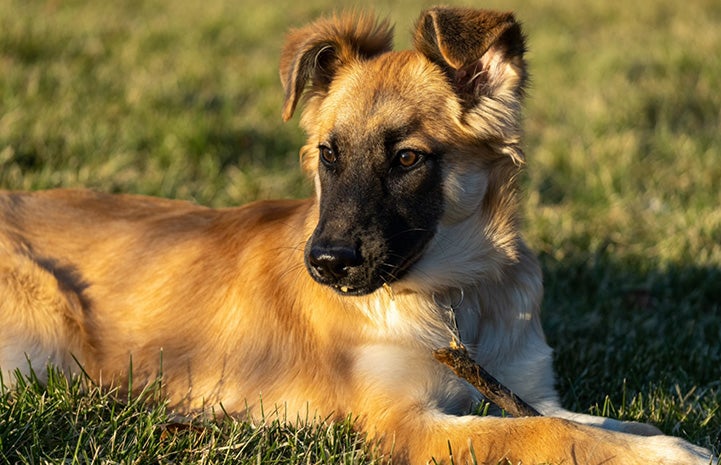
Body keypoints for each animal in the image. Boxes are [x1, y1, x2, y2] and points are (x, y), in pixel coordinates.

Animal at [0, 7, 712, 464]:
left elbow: (597, 421)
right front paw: (673, 454)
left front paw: (662, 437)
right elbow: (545, 437)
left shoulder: (524, 390)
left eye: (407, 158)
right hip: (43, 340)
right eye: (328, 155)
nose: (326, 263)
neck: (455, 294)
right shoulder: (402, 424)